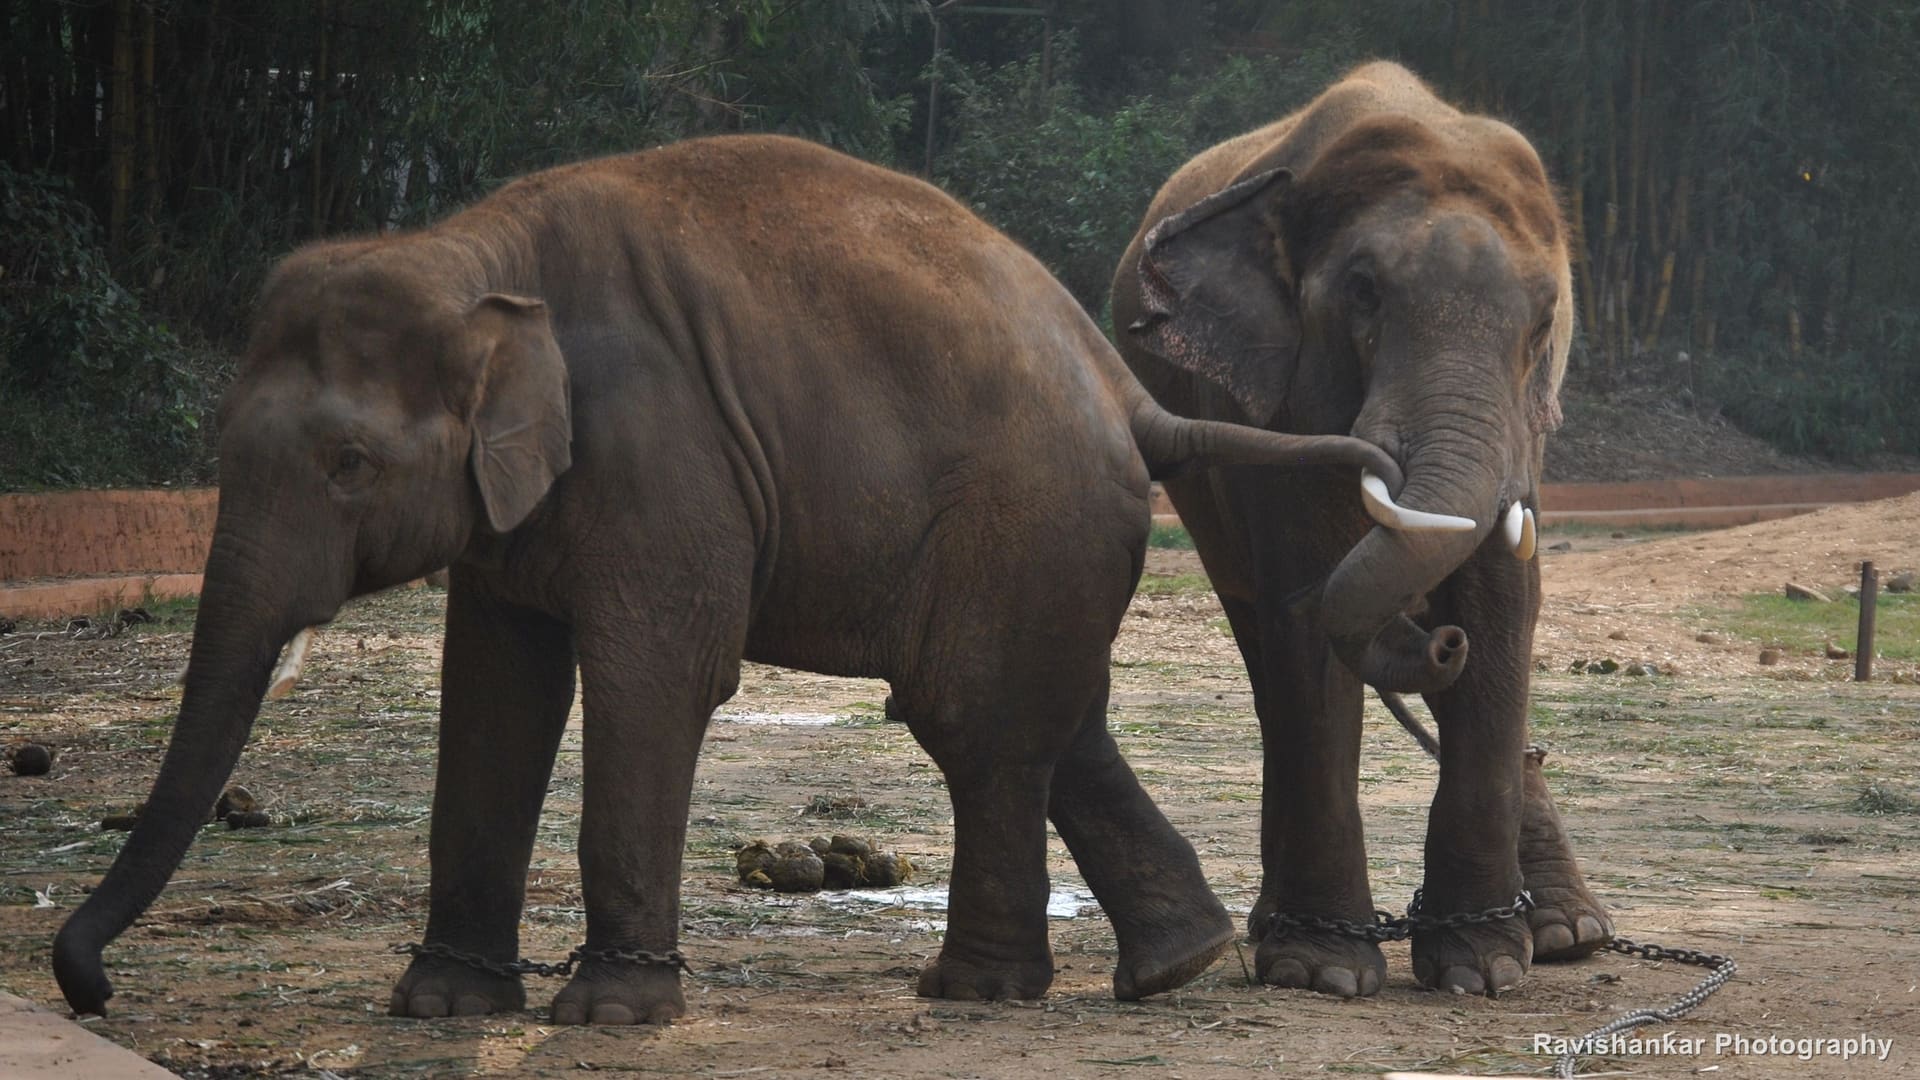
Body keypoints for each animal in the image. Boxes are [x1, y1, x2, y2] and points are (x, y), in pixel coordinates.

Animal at [52, 134, 1405, 1024]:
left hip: (1024, 513)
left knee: (973, 720)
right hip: (1044, 537)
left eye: (348, 464)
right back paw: (1169, 967)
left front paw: (611, 1016)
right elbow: (494, 689)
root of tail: (1127, 391)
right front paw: (441, 1006)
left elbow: (657, 673)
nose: (90, 989)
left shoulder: (660, 452)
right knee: (1032, 717)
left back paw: (975, 991)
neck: (469, 254)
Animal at [1109, 62, 1613, 998]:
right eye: (1364, 294)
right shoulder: (1271, 406)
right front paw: (1326, 976)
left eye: (1542, 327)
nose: (1432, 636)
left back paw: (1570, 933)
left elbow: (1501, 600)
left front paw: (1484, 971)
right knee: (1268, 651)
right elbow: (1311, 602)